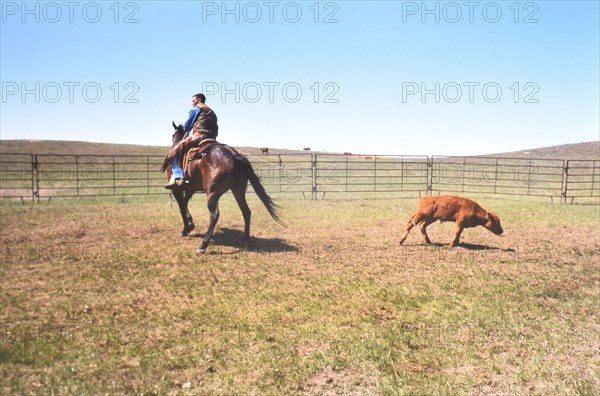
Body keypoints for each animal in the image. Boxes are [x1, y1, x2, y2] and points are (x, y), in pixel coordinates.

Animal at [159, 122, 282, 254]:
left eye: (173, 135)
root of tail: (235, 156)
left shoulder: (176, 189)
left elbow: (181, 206)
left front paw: (185, 229)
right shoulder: (190, 189)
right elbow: (185, 203)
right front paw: (190, 224)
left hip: (212, 193)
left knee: (214, 215)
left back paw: (203, 245)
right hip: (238, 191)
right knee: (246, 211)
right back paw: (245, 237)